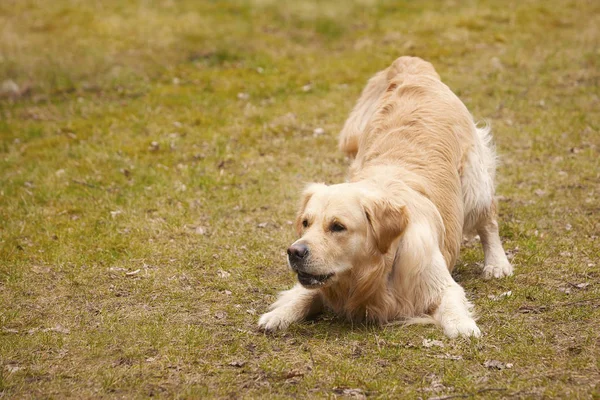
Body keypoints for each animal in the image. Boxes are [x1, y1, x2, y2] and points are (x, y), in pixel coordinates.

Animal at [258, 56, 510, 338]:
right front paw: (278, 315)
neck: (373, 275)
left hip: (475, 183)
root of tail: (412, 65)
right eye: (305, 223)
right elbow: (303, 294)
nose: (294, 251)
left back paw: (497, 264)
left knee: (488, 222)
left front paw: (462, 326)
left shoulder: (439, 284)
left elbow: (452, 304)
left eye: (338, 227)